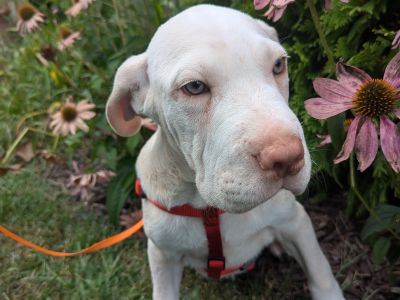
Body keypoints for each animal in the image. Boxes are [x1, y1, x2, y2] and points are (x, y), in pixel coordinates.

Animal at [105, 4, 344, 300]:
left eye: (278, 65)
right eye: (194, 87)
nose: (289, 157)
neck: (210, 210)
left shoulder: (295, 222)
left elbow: (319, 271)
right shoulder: (163, 255)